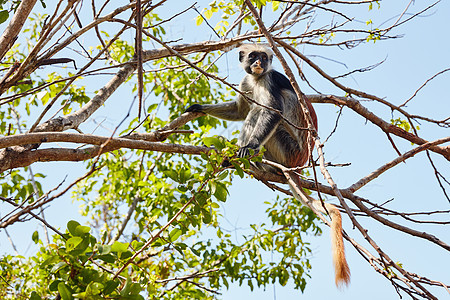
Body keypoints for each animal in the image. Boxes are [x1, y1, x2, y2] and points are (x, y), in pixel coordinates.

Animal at [186, 43, 352, 288]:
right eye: (253, 56)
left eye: (264, 58)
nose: (258, 63)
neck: (257, 78)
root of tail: (298, 166)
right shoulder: (246, 81)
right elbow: (239, 110)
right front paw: (200, 107)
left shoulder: (269, 80)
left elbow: (273, 111)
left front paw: (250, 146)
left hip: (287, 150)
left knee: (259, 112)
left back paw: (247, 158)